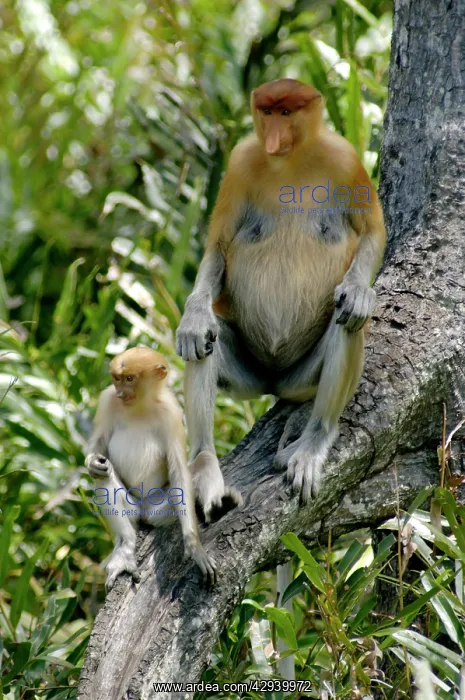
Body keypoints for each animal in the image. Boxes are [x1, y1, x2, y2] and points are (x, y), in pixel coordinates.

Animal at [85, 346, 216, 589]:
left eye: (130, 378)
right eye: (116, 379)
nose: (121, 394)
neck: (139, 406)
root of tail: (144, 510)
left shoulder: (171, 413)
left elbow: (179, 472)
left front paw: (195, 549)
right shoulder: (107, 400)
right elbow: (98, 445)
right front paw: (93, 463)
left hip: (158, 509)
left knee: (201, 464)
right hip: (132, 507)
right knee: (105, 477)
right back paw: (125, 549)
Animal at [176, 78, 386, 508]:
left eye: (287, 113)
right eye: (267, 112)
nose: (273, 140)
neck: (289, 161)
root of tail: (273, 384)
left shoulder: (345, 160)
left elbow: (373, 229)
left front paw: (358, 292)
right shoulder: (239, 163)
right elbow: (217, 248)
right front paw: (192, 320)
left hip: (299, 379)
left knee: (347, 323)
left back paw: (313, 442)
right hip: (250, 378)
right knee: (207, 342)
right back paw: (204, 465)